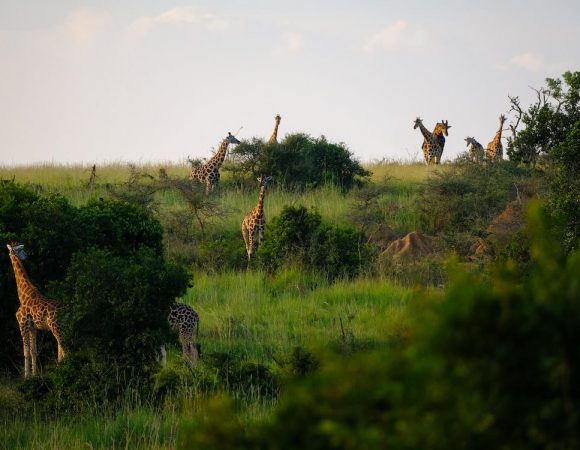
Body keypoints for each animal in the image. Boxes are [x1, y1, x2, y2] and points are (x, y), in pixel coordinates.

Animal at [6, 243, 65, 376]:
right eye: (21, 250)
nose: (26, 256)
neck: (23, 294)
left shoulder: (22, 324)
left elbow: (26, 352)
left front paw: (26, 376)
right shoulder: (33, 328)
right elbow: (33, 351)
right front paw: (34, 375)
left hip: (55, 326)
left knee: (63, 345)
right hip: (59, 327)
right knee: (62, 345)